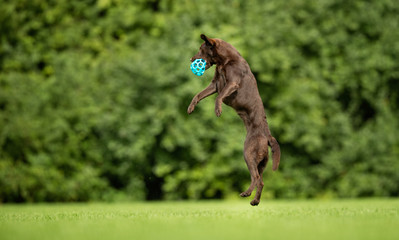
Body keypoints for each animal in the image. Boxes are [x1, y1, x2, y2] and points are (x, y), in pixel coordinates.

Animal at [188, 33, 280, 206]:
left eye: (201, 50)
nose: (191, 59)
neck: (226, 60)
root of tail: (268, 136)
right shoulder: (215, 84)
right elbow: (199, 94)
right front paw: (191, 107)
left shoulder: (232, 83)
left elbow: (218, 97)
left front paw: (217, 110)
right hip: (261, 162)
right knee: (261, 180)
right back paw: (255, 201)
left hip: (248, 153)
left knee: (255, 177)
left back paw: (247, 193)